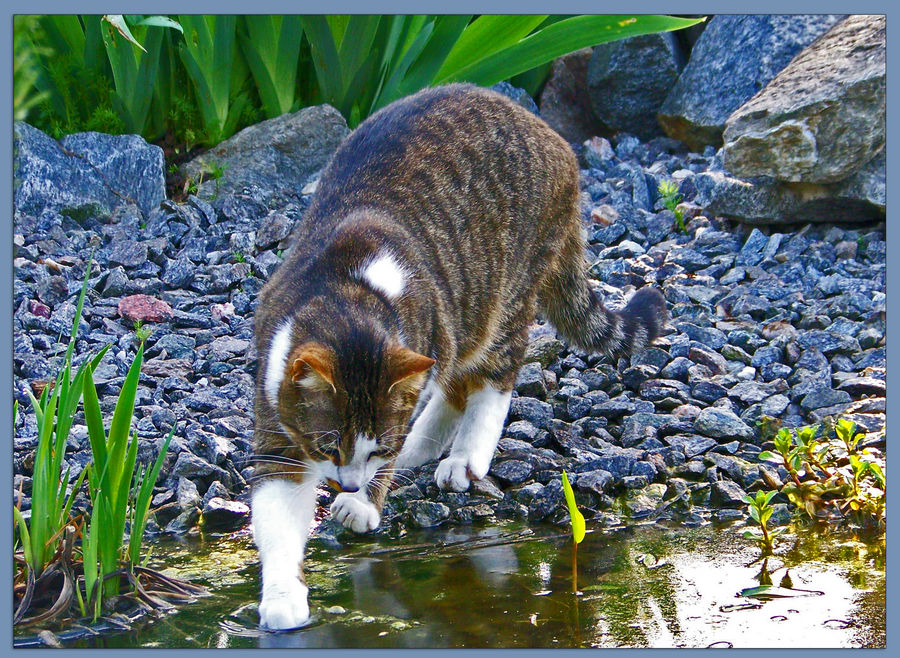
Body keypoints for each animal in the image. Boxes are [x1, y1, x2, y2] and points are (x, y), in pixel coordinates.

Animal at [250, 84, 664, 628]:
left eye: (375, 450)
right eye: (329, 448)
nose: (348, 485)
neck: (346, 288)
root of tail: (550, 135)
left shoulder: (429, 335)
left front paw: (367, 502)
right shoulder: (276, 404)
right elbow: (276, 510)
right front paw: (282, 596)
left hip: (502, 292)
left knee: (493, 374)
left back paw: (466, 453)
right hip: (464, 311)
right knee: (455, 378)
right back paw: (428, 443)